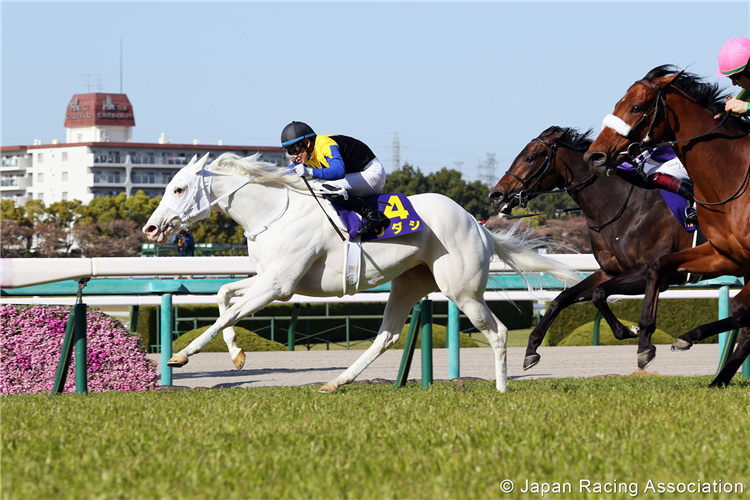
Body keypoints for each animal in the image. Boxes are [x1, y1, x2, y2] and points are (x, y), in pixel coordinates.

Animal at [142, 150, 580, 392]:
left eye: (178, 188)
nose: (151, 228)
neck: (273, 212)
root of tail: (477, 224)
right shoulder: (270, 280)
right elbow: (224, 297)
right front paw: (236, 355)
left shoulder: (279, 285)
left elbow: (229, 311)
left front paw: (180, 356)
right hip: (408, 283)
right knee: (386, 337)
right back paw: (336, 382)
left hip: (462, 290)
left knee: (499, 331)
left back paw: (503, 388)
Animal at [494, 128, 700, 372]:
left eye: (530, 157)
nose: (496, 195)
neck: (623, 206)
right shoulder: (609, 272)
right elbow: (563, 298)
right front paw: (531, 350)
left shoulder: (650, 271)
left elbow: (599, 294)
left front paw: (630, 331)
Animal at [588, 65, 750, 386]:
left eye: (636, 107)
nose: (595, 155)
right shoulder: (725, 254)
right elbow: (658, 266)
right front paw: (645, 341)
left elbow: (741, 309)